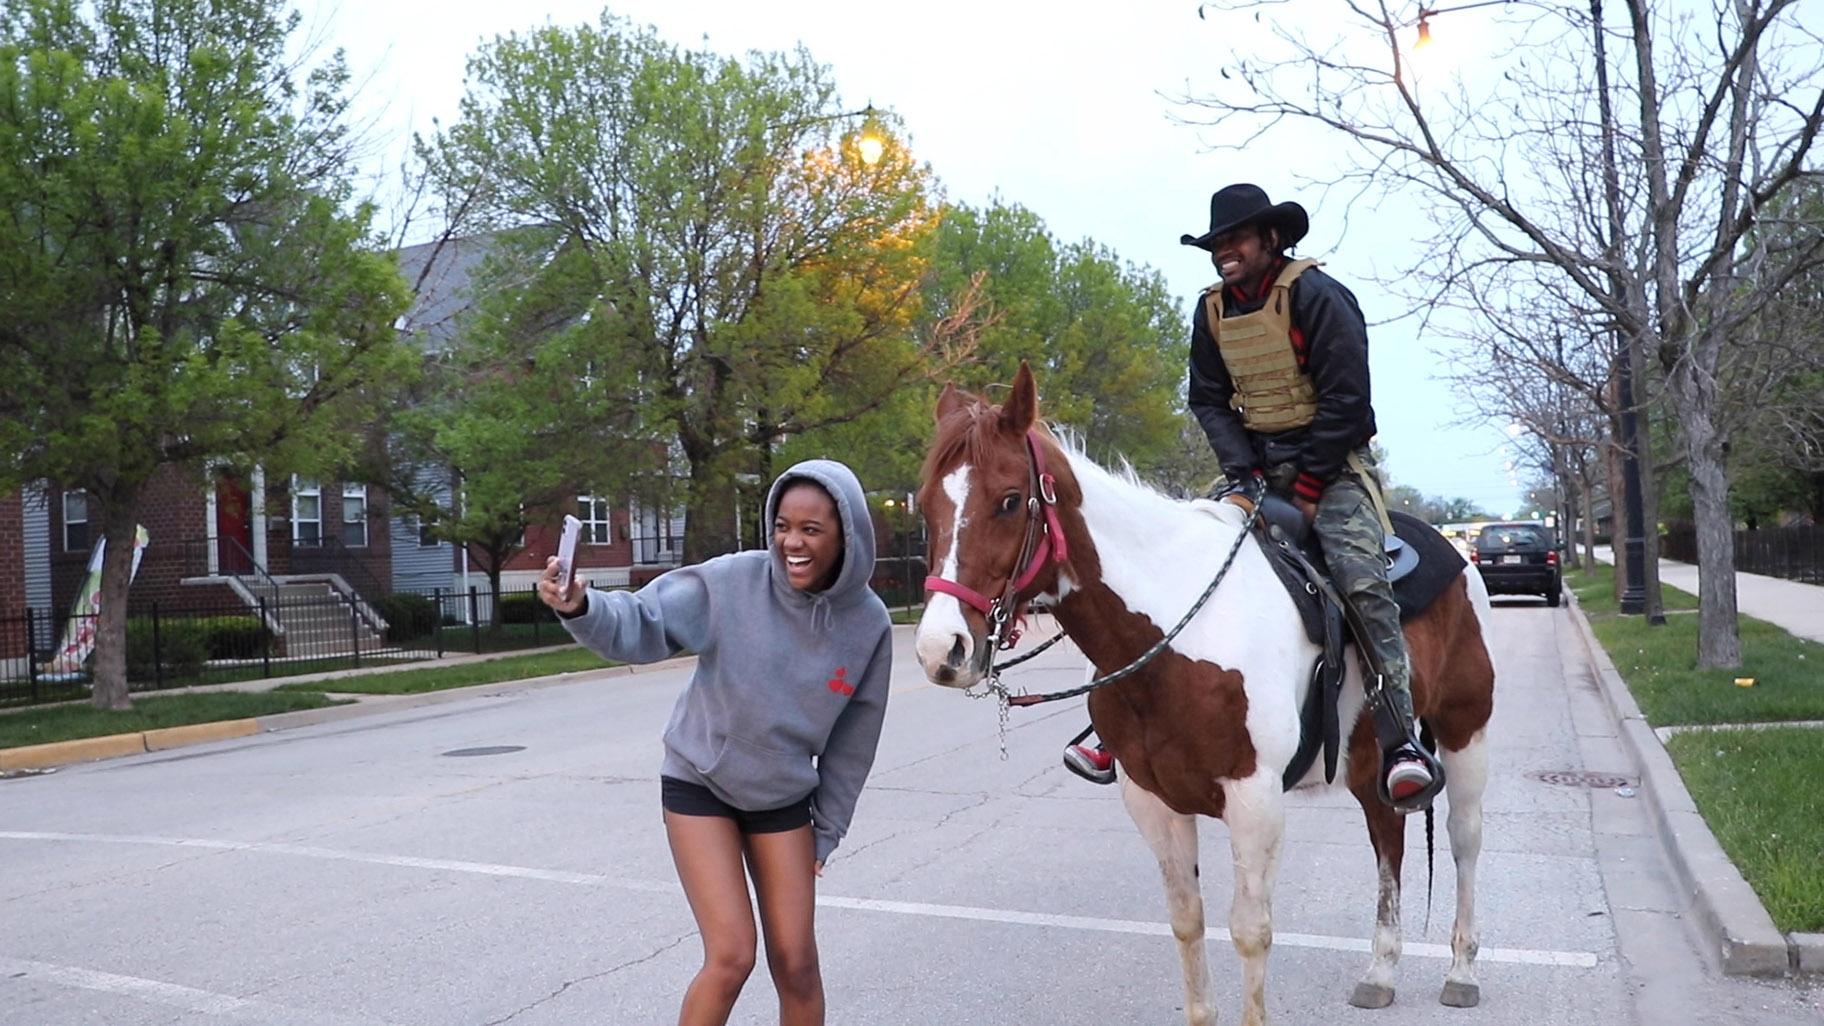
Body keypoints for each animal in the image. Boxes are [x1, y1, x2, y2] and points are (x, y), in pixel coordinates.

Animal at [912, 363, 1495, 1022]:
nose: (941, 650)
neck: (1173, 632)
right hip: (1371, 756)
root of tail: (1456, 551)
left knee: (1464, 838)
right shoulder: (1152, 801)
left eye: (1010, 501)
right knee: (1387, 835)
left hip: (1465, 729)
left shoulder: (1254, 801)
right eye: (927, 505)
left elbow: (1250, 931)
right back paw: (1381, 970)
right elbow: (1187, 922)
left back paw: (1462, 971)